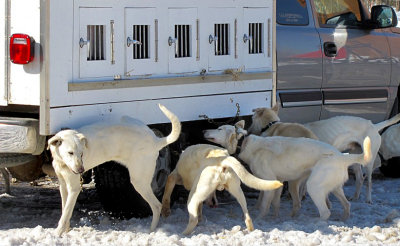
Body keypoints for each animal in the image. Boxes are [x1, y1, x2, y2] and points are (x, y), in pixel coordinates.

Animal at [47, 104, 182, 236]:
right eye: (70, 153)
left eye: (81, 154)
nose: (81, 170)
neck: (62, 162)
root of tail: (155, 140)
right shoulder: (63, 185)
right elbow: (65, 209)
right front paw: (66, 230)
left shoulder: (74, 188)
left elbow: (66, 213)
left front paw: (58, 233)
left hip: (139, 181)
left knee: (157, 205)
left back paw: (151, 230)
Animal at [238, 135, 372, 221]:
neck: (252, 146)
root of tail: (342, 156)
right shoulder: (277, 183)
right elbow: (275, 203)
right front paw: (275, 218)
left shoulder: (269, 183)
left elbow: (263, 206)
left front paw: (258, 219)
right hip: (335, 188)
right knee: (347, 204)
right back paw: (343, 219)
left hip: (313, 187)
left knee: (325, 212)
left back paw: (317, 223)